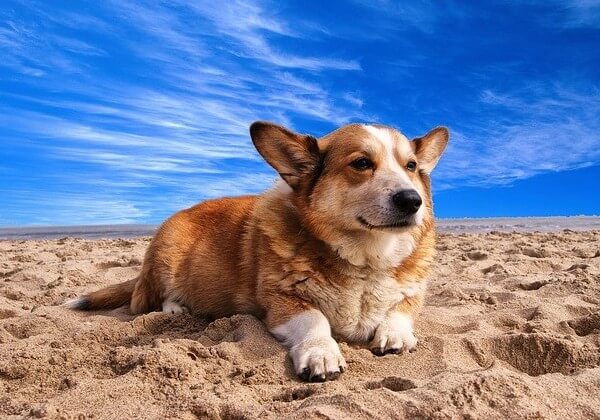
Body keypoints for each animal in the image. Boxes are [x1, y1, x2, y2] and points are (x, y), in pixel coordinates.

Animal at [68, 120, 448, 380]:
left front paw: (396, 334)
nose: (412, 201)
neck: (367, 257)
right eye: (362, 163)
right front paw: (322, 354)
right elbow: (316, 319)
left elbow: (399, 311)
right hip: (168, 253)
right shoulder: (282, 302)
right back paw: (175, 309)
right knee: (155, 296)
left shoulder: (411, 293)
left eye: (411, 166)